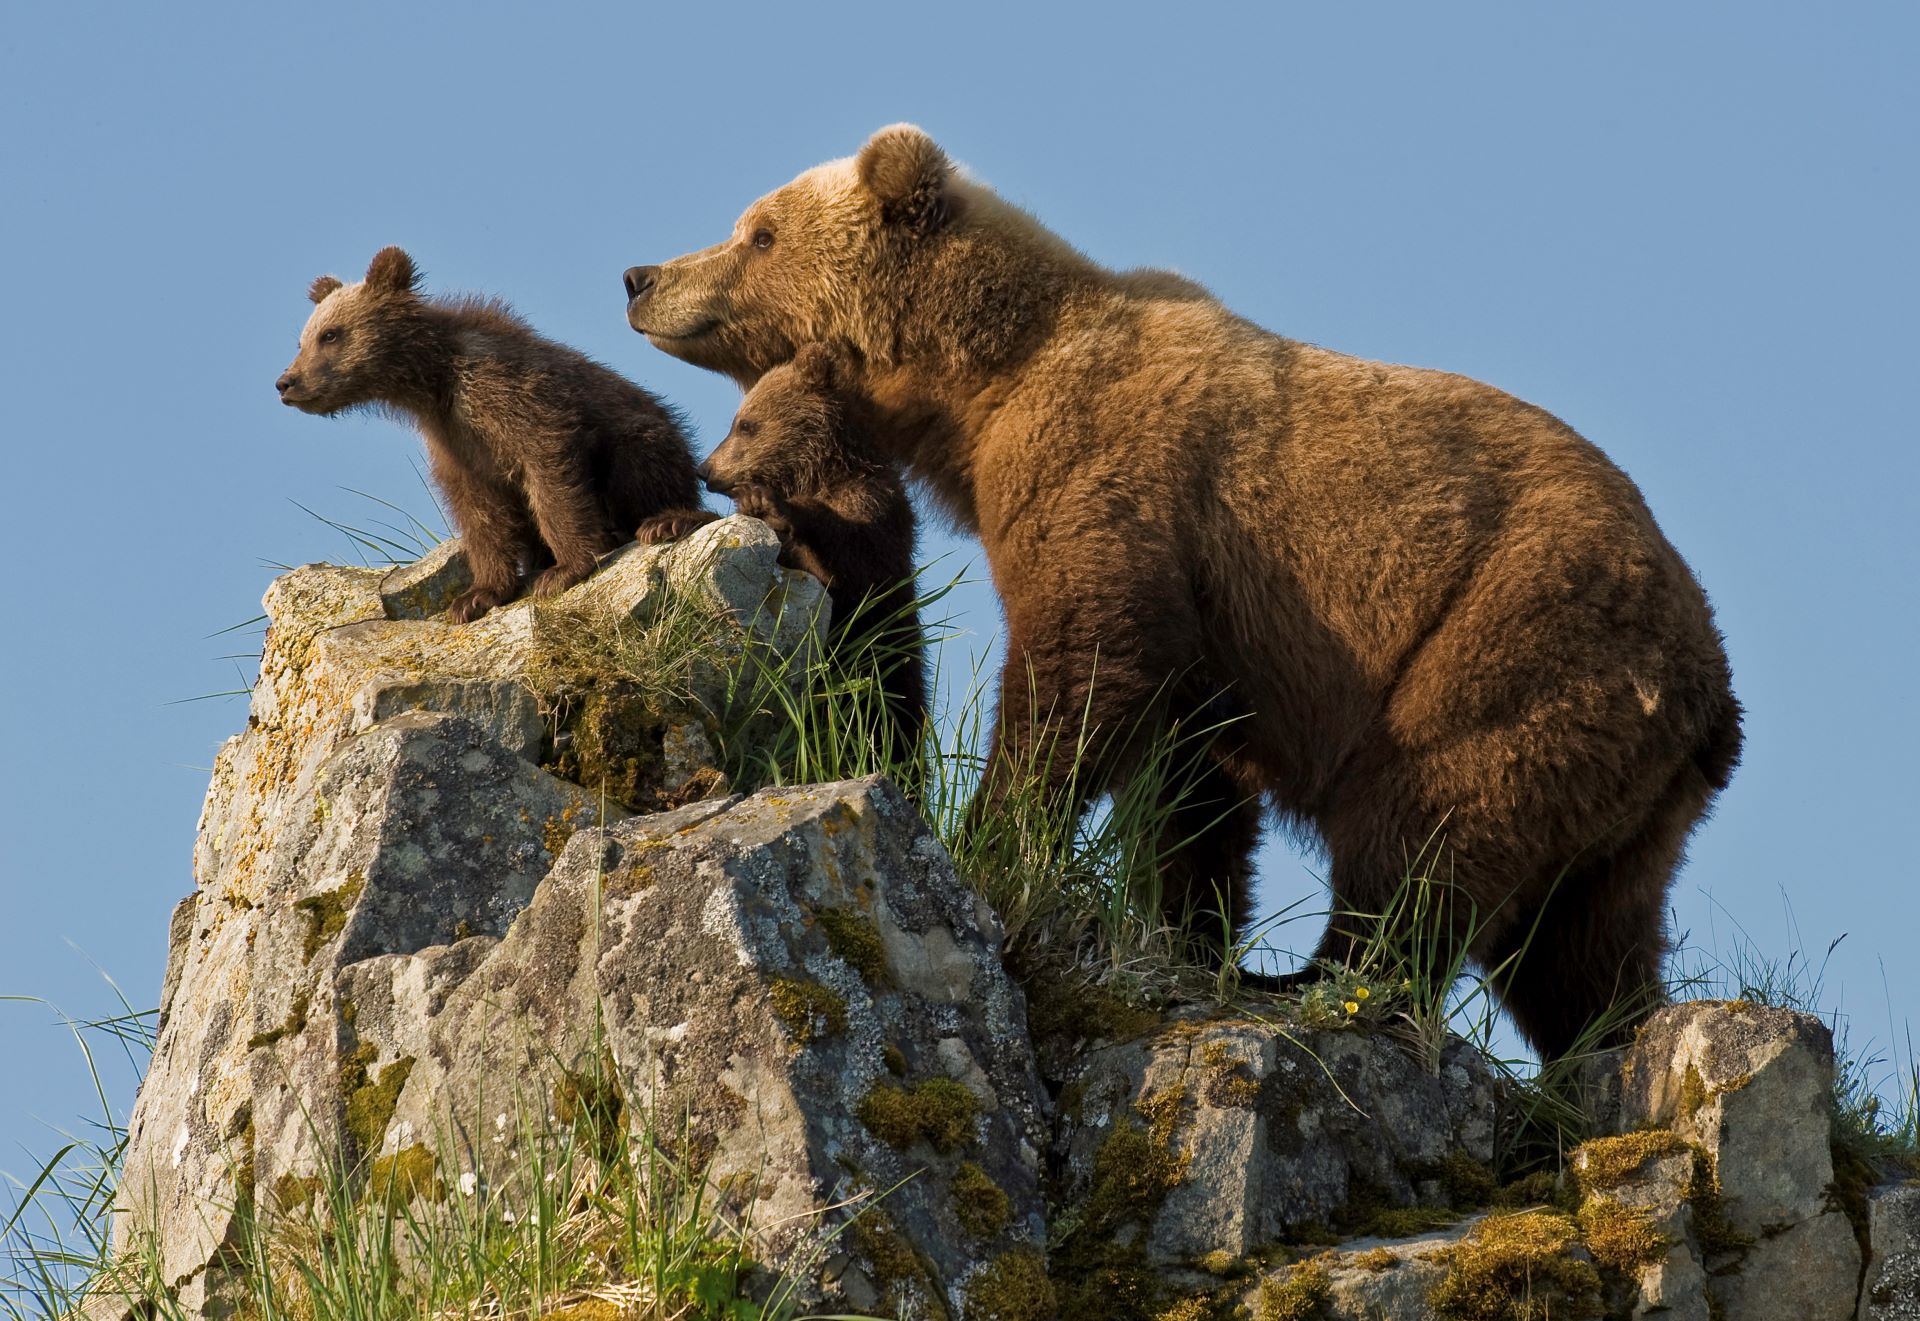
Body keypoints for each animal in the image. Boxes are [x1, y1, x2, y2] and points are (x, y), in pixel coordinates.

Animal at [278, 246, 705, 623]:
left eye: (330, 334)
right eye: (302, 340)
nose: (286, 382)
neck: (435, 382)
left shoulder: (510, 398)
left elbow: (549, 471)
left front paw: (566, 568)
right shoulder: (455, 443)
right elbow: (478, 512)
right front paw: (477, 596)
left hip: (644, 437)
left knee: (645, 461)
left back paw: (664, 521)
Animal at [636, 342, 928, 772]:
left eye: (745, 424)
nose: (707, 469)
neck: (819, 471)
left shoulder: (876, 513)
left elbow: (856, 560)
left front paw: (773, 503)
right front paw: (666, 522)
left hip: (891, 677)